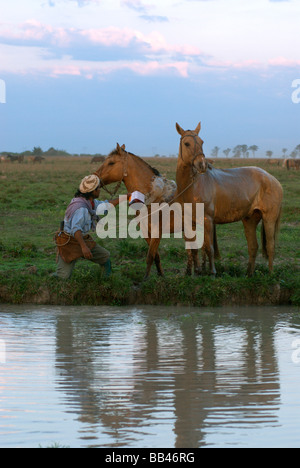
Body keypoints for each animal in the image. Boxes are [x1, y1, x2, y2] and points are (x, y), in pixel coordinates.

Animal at [95, 144, 219, 278]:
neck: (154, 196)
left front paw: (145, 279)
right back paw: (191, 272)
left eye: (111, 163)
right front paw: (160, 275)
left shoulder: (156, 231)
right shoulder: (145, 231)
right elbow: (155, 255)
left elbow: (150, 256)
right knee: (193, 249)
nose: (94, 178)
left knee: (203, 248)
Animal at [175, 122, 282, 276]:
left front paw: (212, 272)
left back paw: (270, 274)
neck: (193, 186)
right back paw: (249, 274)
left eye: (202, 142)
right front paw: (192, 272)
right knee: (253, 246)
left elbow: (209, 248)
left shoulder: (207, 220)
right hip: (250, 219)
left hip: (269, 218)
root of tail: (273, 179)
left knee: (270, 246)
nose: (202, 165)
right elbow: (192, 248)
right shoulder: (189, 222)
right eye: (187, 143)